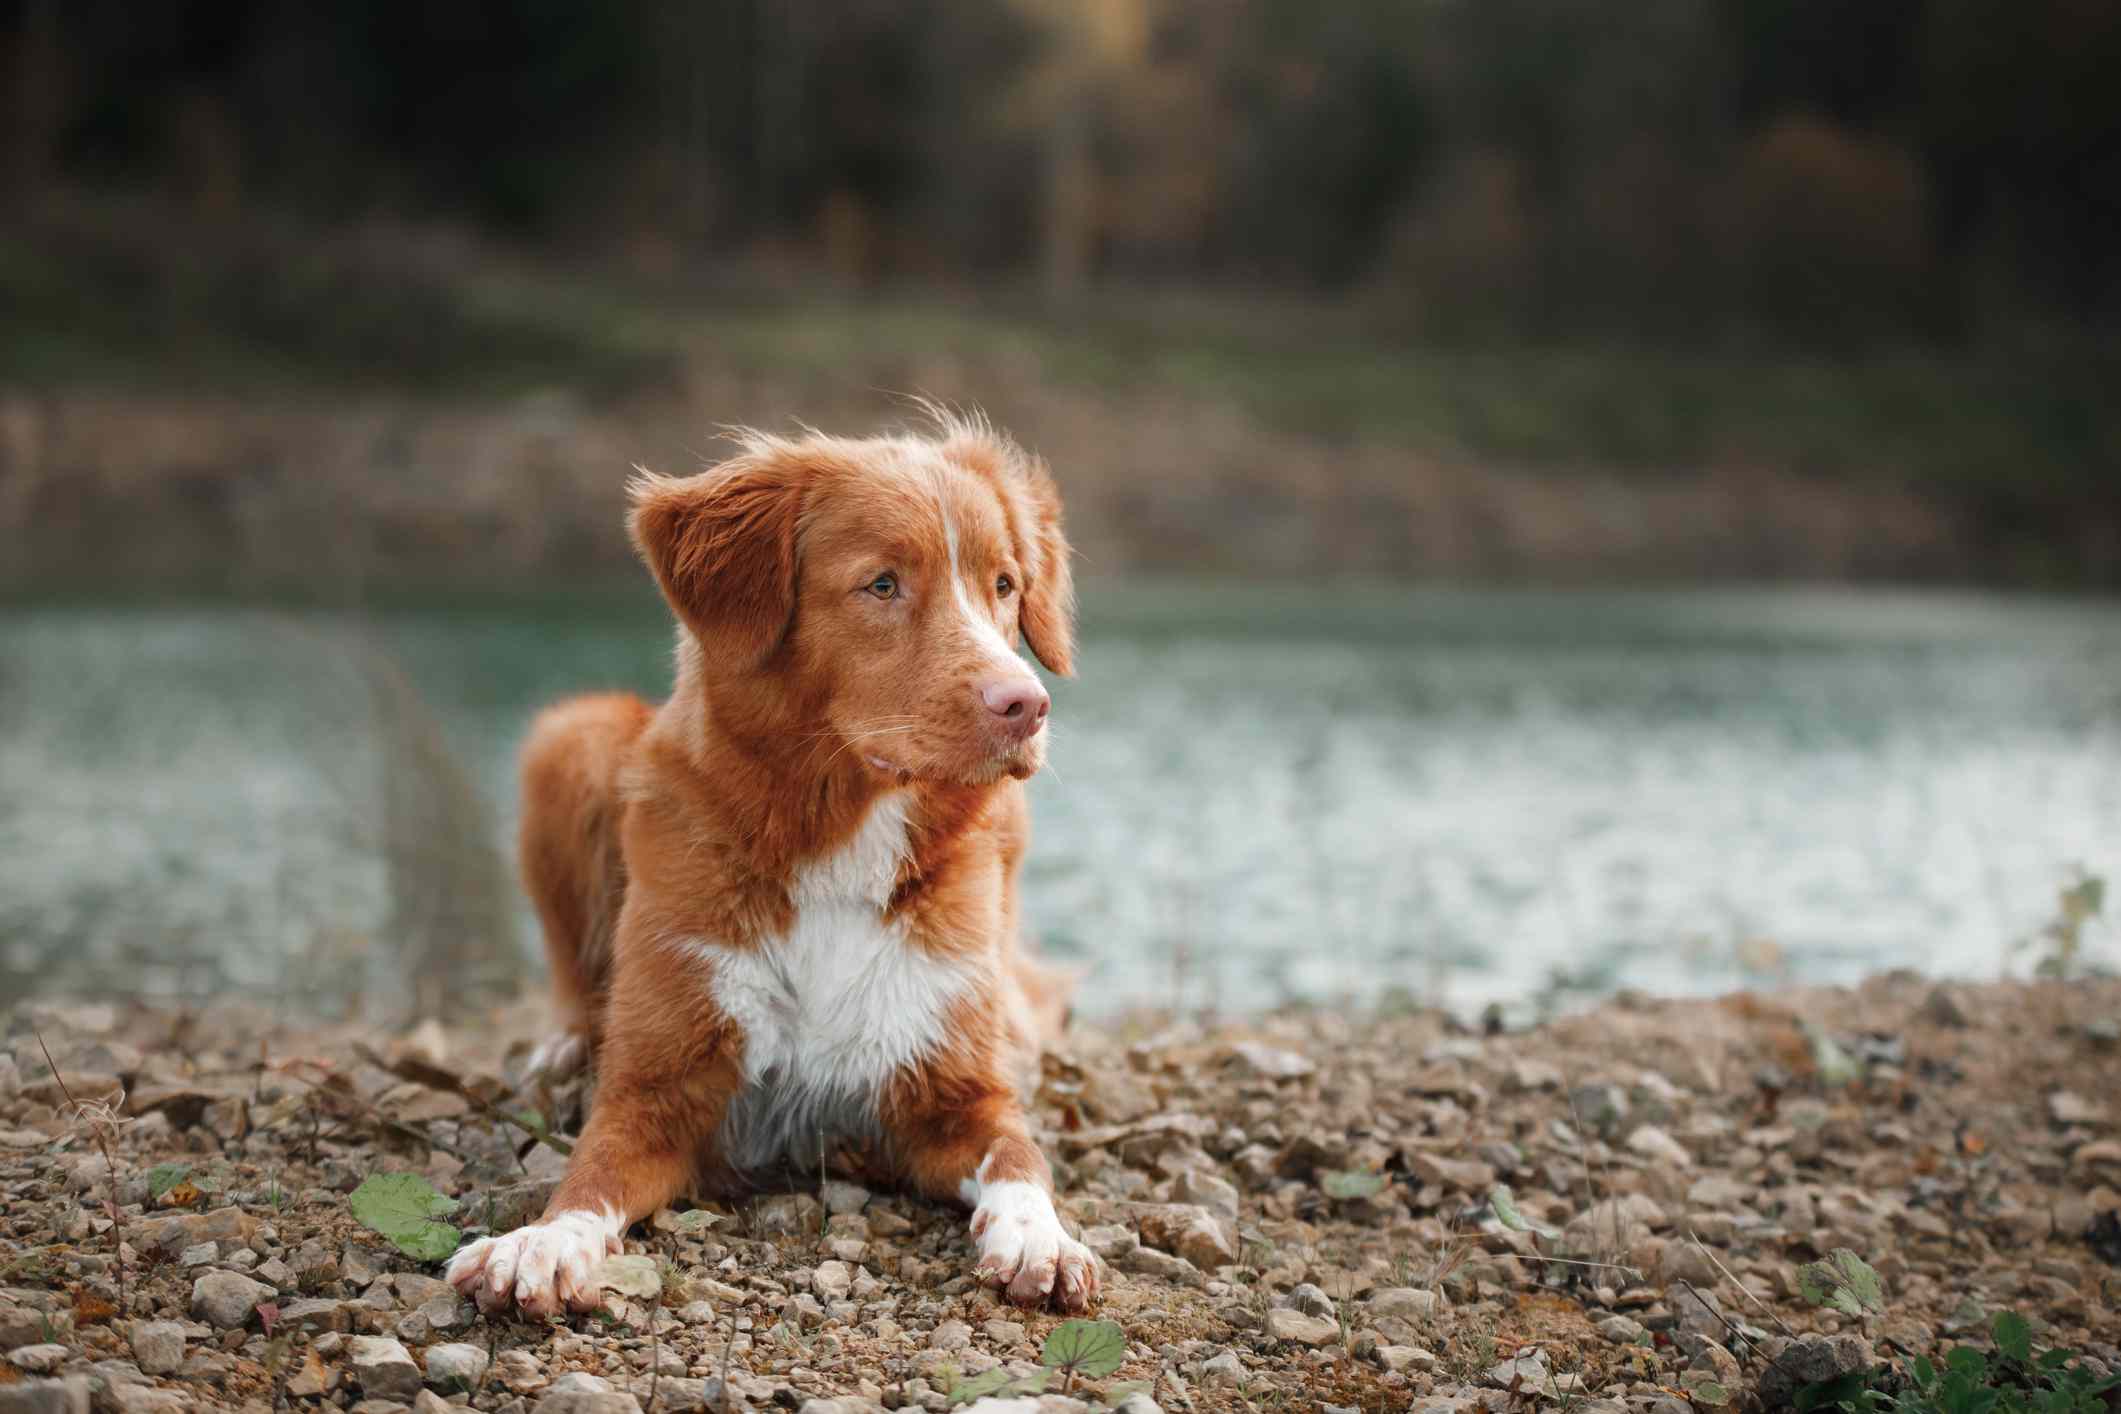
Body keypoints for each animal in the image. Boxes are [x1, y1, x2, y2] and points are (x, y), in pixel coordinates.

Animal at [443, 409, 1094, 1314]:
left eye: (1002, 585)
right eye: (881, 585)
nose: (1027, 705)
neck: (836, 846)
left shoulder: (959, 1091)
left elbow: (1021, 1157)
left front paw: (1042, 1237)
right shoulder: (656, 1089)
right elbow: (587, 1175)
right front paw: (540, 1243)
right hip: (571, 735)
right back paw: (565, 1047)